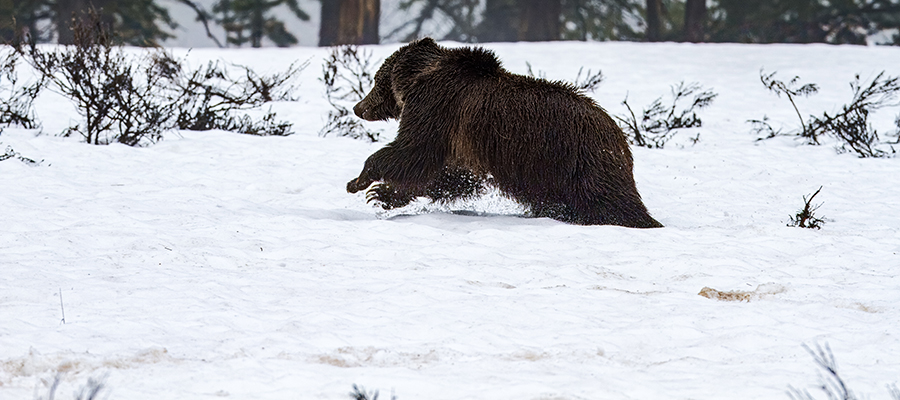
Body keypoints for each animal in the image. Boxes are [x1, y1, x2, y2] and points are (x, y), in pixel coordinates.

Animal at [346, 38, 662, 228]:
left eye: (375, 80)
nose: (358, 107)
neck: (421, 78)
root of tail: (621, 137)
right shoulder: (462, 141)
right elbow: (451, 175)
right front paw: (383, 194)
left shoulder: (437, 108)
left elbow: (414, 152)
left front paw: (362, 181)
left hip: (574, 160)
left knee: (608, 200)